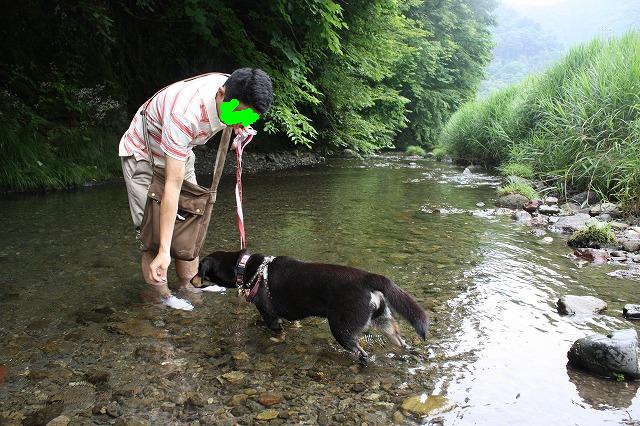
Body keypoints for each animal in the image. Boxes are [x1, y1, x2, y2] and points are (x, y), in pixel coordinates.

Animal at [199, 250, 430, 362]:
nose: (193, 279)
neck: (245, 267)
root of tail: (368, 278)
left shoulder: (269, 314)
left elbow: (275, 331)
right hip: (383, 321)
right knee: (399, 341)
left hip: (341, 328)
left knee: (361, 353)